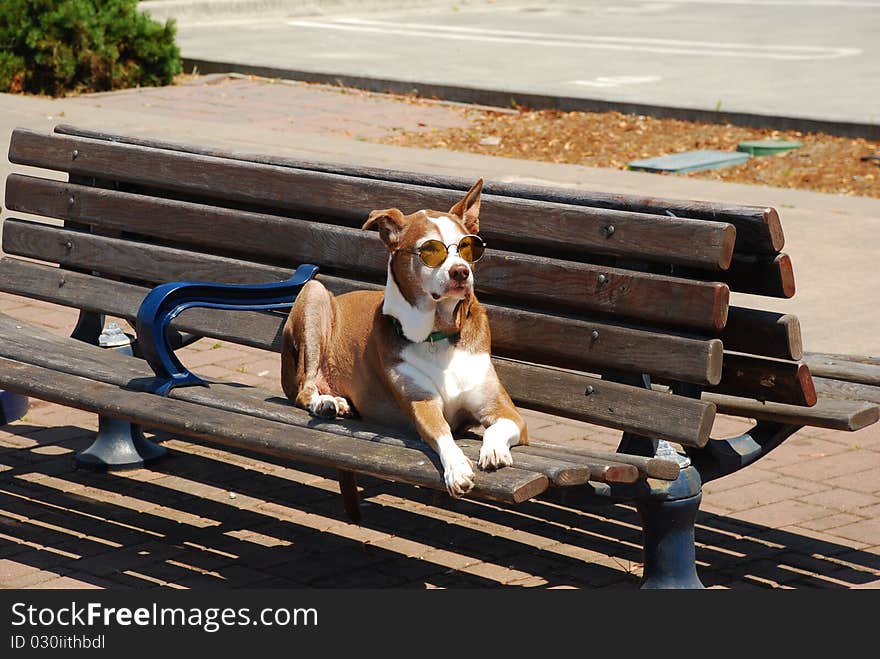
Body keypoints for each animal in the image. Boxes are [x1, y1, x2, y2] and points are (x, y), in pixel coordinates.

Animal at [282, 178, 524, 498]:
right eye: (430, 250)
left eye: (467, 246)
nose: (461, 272)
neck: (439, 334)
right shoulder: (422, 404)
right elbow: (443, 433)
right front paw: (457, 468)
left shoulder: (505, 411)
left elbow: (498, 427)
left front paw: (494, 450)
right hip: (314, 293)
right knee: (305, 389)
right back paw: (324, 403)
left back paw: (339, 402)